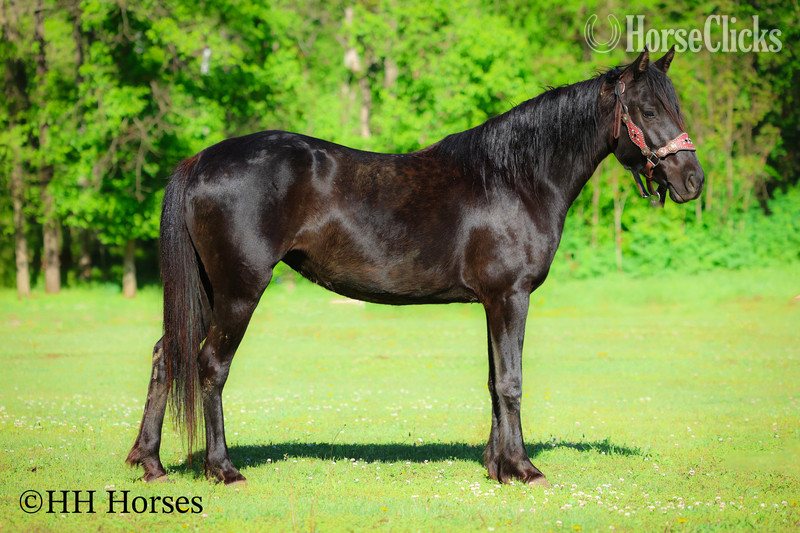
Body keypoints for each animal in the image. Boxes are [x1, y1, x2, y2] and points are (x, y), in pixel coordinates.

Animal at [127, 47, 703, 486]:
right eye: (648, 111)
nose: (693, 180)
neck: (514, 178)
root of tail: (199, 160)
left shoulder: (492, 302)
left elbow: (493, 381)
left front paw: (496, 466)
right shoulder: (511, 296)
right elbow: (511, 381)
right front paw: (523, 469)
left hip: (208, 292)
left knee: (164, 356)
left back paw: (150, 462)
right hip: (240, 291)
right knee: (210, 366)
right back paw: (222, 469)